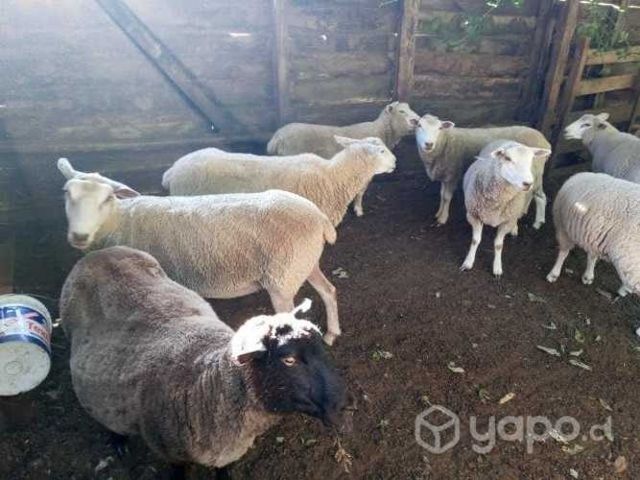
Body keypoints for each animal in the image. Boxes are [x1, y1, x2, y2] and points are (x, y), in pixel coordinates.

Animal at [57, 158, 342, 345]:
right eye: (66, 192)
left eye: (107, 198)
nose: (79, 236)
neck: (120, 220)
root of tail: (319, 217)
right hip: (303, 263)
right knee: (329, 290)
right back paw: (331, 333)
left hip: (282, 277)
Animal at [60, 246, 348, 474]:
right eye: (288, 360)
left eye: (322, 347)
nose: (343, 408)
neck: (207, 388)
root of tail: (98, 253)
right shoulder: (171, 455)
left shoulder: (227, 453)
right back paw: (117, 440)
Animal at [266, 101, 420, 217]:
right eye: (401, 111)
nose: (416, 121)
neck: (383, 132)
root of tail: (277, 137)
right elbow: (360, 191)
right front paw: (358, 210)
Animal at [415, 114, 551, 227]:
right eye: (419, 125)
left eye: (439, 128)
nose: (429, 144)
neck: (445, 142)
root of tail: (545, 141)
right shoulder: (445, 175)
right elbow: (442, 194)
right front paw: (439, 212)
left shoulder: (452, 174)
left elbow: (447, 197)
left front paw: (443, 218)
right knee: (531, 193)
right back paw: (524, 211)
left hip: (535, 172)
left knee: (541, 196)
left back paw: (538, 222)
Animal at [460, 140, 551, 276]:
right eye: (508, 158)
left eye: (531, 159)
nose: (528, 183)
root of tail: (509, 140)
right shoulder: (474, 216)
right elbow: (475, 240)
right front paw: (468, 262)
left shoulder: (507, 221)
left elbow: (498, 245)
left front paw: (497, 268)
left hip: (536, 186)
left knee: (539, 199)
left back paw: (529, 224)